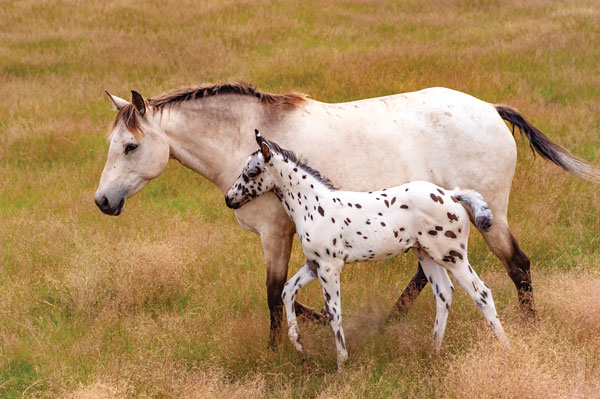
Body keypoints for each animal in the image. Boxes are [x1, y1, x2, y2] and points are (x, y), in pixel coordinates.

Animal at [96, 83, 596, 344]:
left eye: (131, 146)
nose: (102, 202)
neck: (244, 138)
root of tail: (491, 109)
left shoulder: (274, 234)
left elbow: (273, 293)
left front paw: (279, 351)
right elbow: (284, 293)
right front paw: (313, 324)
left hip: (487, 221)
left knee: (518, 265)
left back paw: (528, 331)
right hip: (432, 233)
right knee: (429, 278)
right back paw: (390, 323)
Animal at [226, 130, 510, 370]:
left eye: (251, 172)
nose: (229, 199)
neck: (313, 205)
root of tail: (453, 195)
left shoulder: (330, 266)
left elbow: (333, 312)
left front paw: (342, 363)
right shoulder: (313, 264)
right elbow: (287, 291)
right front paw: (301, 349)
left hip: (452, 255)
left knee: (481, 293)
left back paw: (505, 346)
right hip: (426, 255)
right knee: (444, 294)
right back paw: (433, 353)